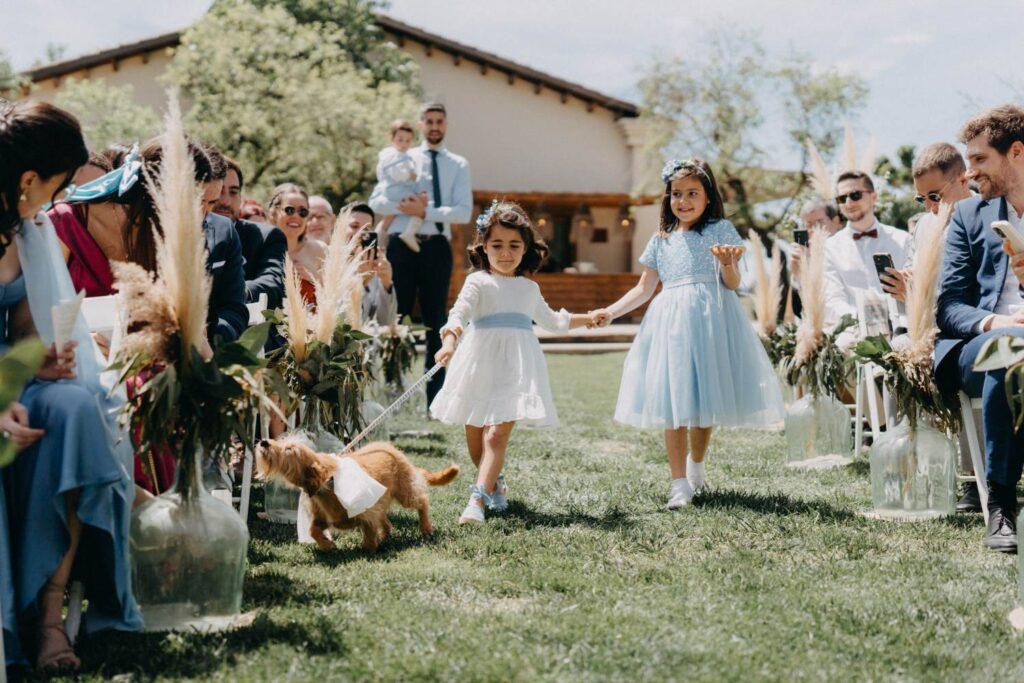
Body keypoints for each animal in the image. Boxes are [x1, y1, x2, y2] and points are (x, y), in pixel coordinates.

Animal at [256, 436, 460, 552]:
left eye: (289, 449)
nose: (264, 441)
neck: (327, 483)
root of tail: (393, 449)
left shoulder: (367, 512)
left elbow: (369, 532)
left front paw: (368, 550)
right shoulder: (325, 517)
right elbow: (313, 530)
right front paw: (327, 545)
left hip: (405, 493)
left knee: (422, 501)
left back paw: (425, 527)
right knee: (387, 522)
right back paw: (385, 536)